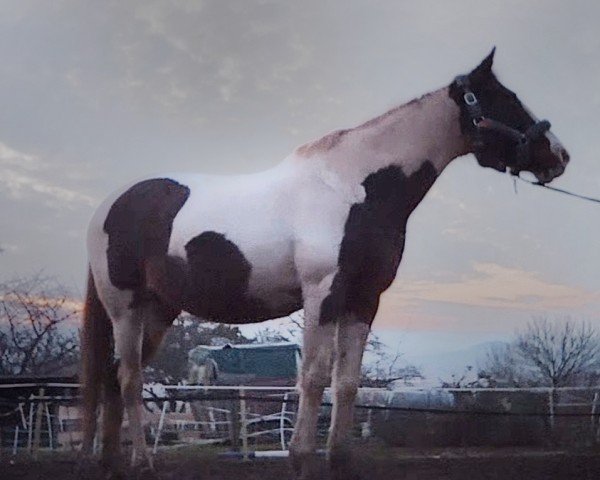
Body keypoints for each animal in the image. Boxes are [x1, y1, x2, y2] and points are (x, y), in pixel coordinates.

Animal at [78, 48, 568, 476]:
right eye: (504, 99)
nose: (560, 156)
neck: (353, 188)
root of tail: (109, 206)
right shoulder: (322, 294)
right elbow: (313, 378)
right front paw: (300, 459)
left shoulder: (363, 299)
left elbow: (347, 383)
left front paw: (340, 460)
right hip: (125, 309)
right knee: (129, 379)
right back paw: (141, 462)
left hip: (160, 310)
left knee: (114, 377)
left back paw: (111, 462)